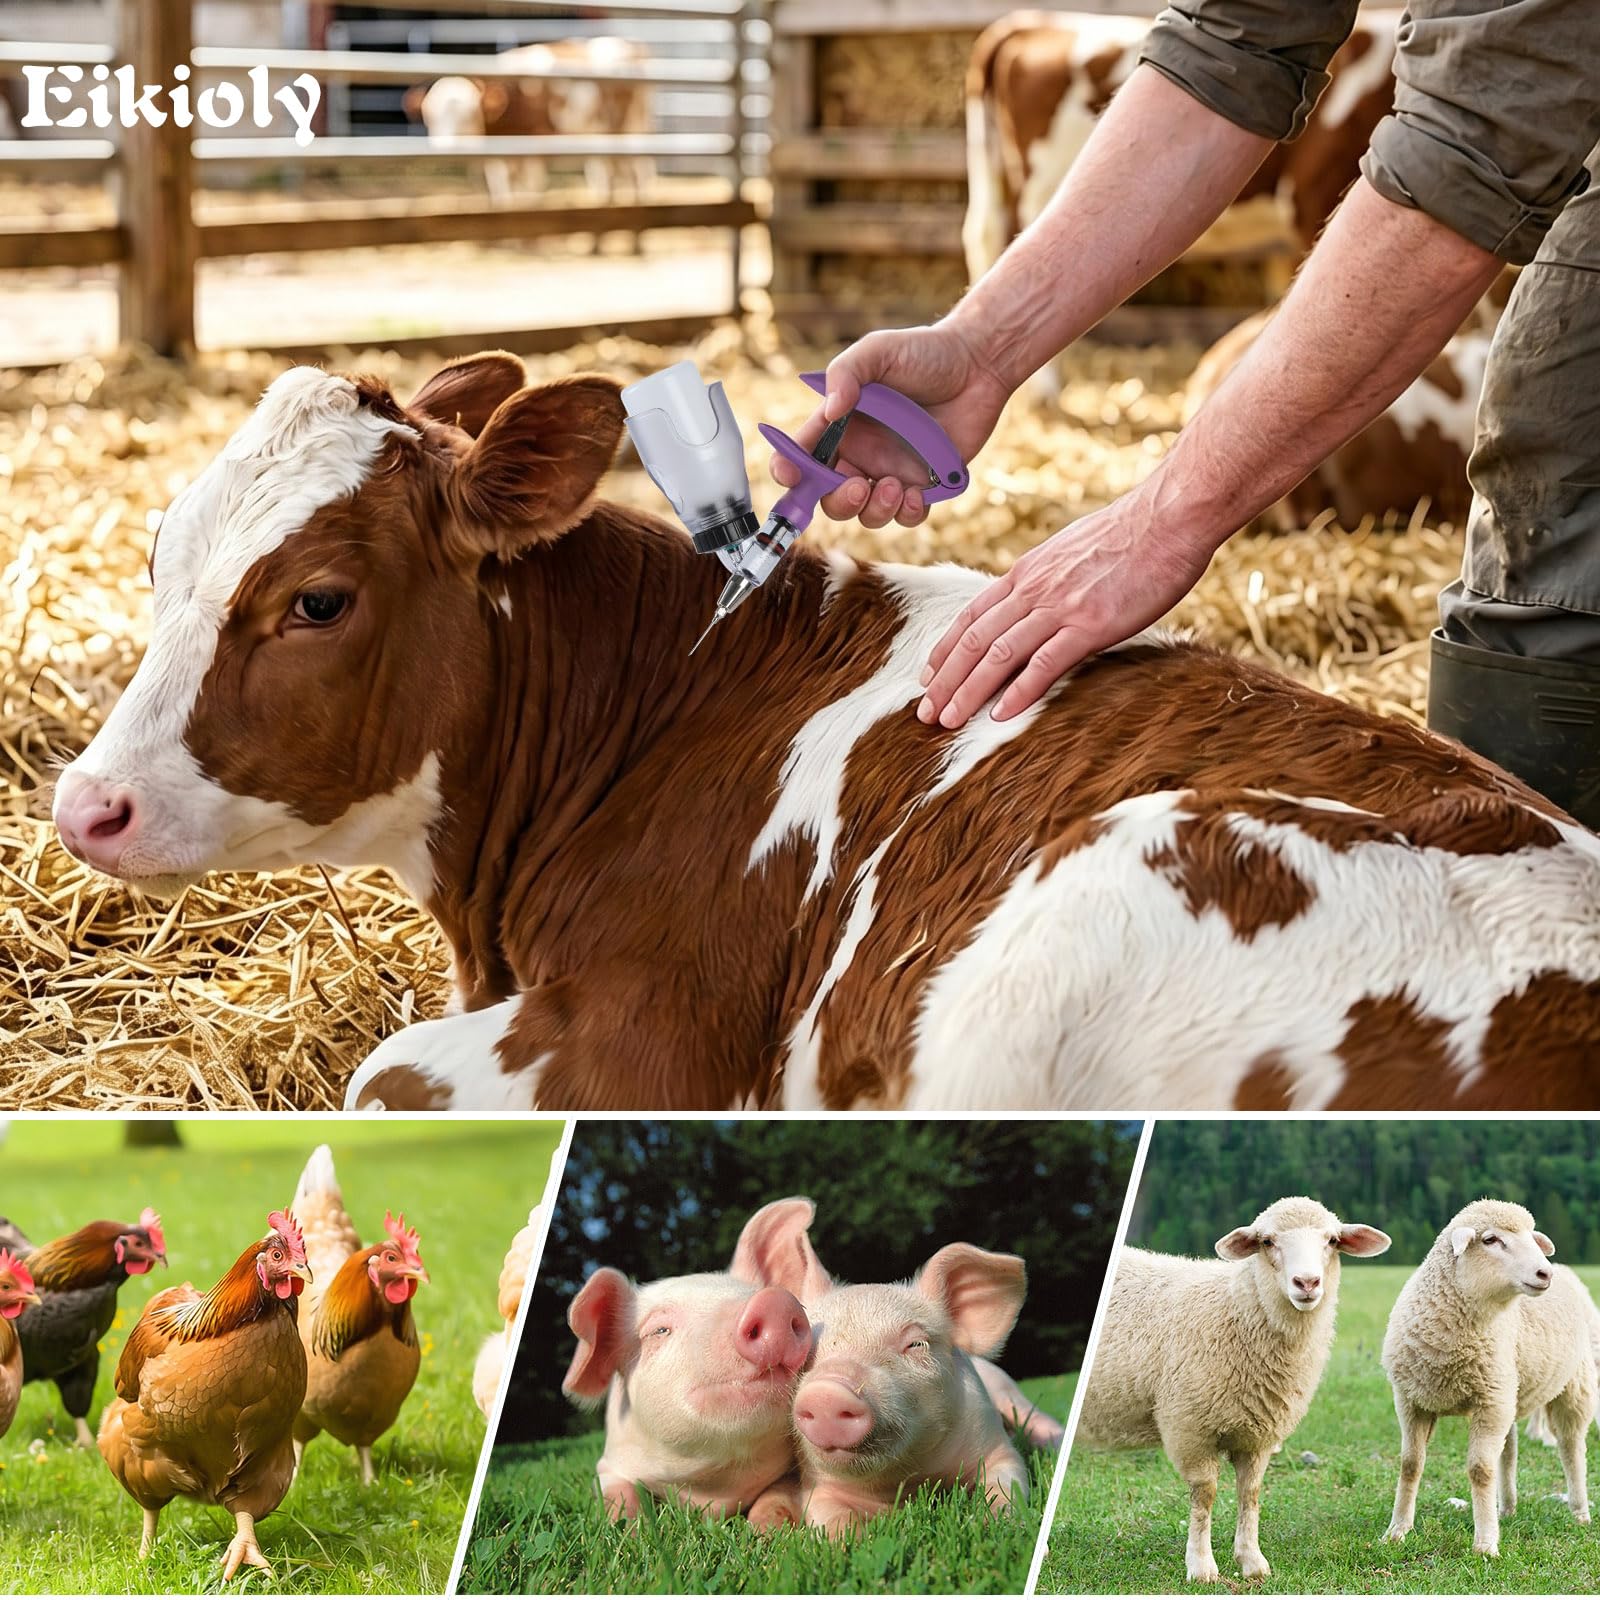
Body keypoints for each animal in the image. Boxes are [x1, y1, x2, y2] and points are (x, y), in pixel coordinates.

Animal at [1077, 1196, 1390, 1583]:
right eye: (1267, 1241)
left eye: (1332, 1240)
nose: (1306, 1282)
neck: (1237, 1310)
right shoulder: (1189, 1427)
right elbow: (1205, 1495)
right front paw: (1201, 1567)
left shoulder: (1259, 1435)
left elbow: (1250, 1494)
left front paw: (1252, 1562)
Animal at [1381, 1198, 1598, 1558]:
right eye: (1490, 1240)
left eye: (1532, 1238)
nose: (1545, 1273)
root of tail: (1567, 1270)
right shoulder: (1412, 1400)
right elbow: (1410, 1464)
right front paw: (1397, 1531)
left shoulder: (1489, 1401)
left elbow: (1480, 1471)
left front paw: (1485, 1544)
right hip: (1508, 1390)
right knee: (1509, 1452)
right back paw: (1506, 1509)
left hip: (1572, 1385)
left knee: (1571, 1447)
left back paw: (1580, 1511)